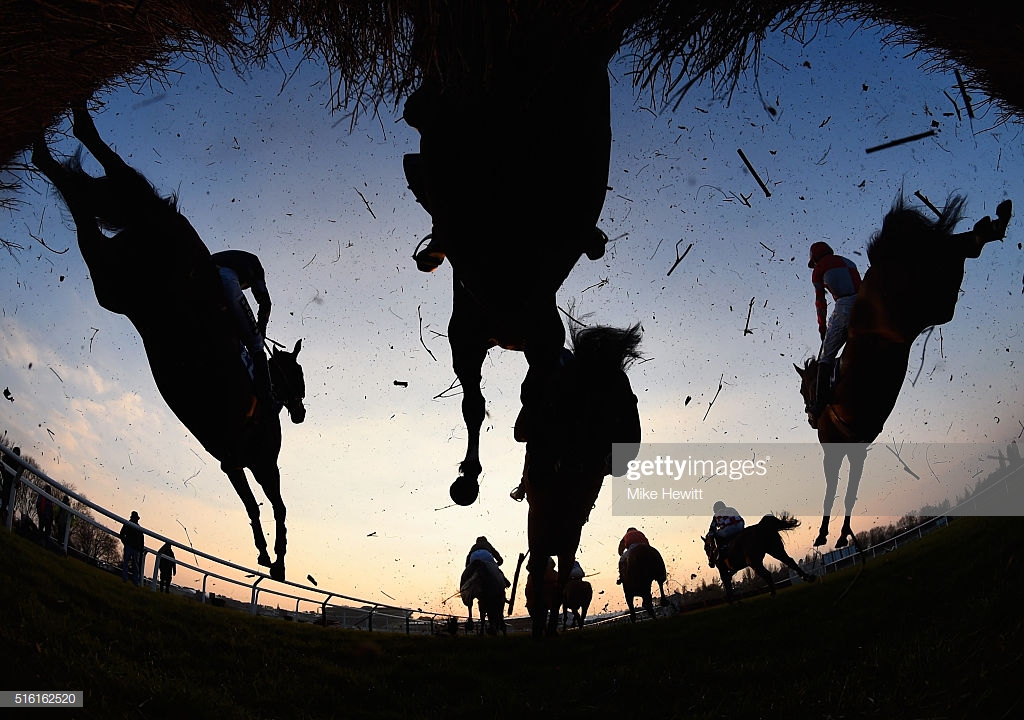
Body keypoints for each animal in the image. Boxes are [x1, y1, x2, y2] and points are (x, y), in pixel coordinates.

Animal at [32, 104, 303, 581]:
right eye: (299, 377)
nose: (302, 414)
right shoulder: (259, 461)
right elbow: (276, 506)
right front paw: (278, 557)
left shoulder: (231, 461)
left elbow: (253, 506)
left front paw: (266, 554)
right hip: (144, 251)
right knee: (112, 180)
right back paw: (73, 123)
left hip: (112, 282)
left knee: (79, 195)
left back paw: (46, 144)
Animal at [798, 194, 1007, 548]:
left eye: (802, 390)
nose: (811, 418)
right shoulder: (858, 452)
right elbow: (851, 492)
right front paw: (842, 535)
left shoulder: (835, 452)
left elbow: (833, 490)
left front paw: (825, 535)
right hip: (933, 292)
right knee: (955, 247)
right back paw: (995, 222)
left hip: (922, 302)